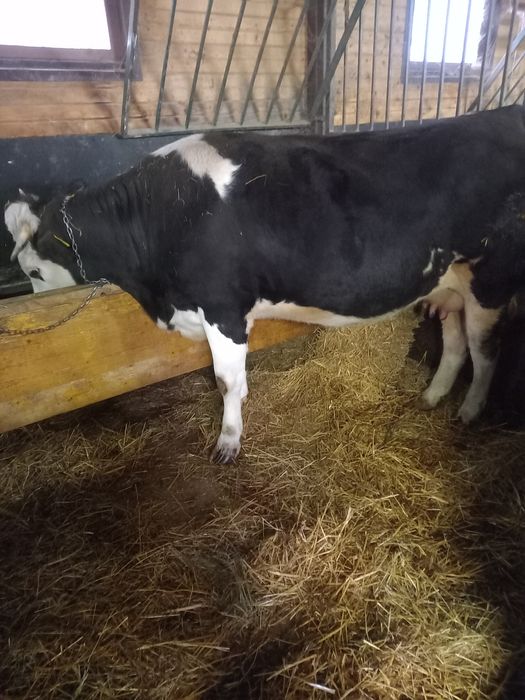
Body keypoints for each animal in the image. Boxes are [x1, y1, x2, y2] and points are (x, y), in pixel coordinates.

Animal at [5, 105, 525, 463]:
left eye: (34, 271)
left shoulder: (222, 308)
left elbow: (226, 380)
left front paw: (228, 442)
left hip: (492, 280)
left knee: (486, 352)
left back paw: (469, 412)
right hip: (450, 285)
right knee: (455, 345)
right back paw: (433, 398)